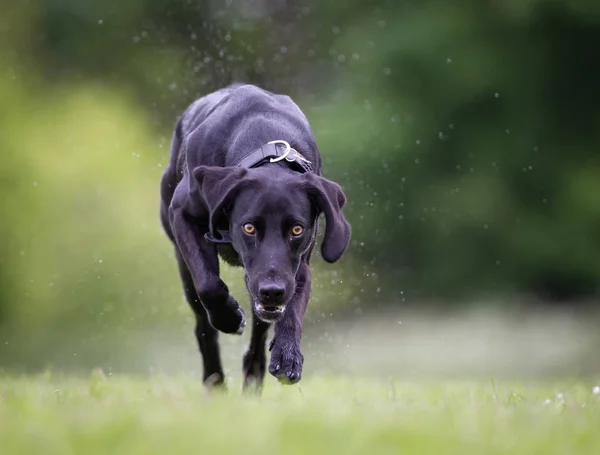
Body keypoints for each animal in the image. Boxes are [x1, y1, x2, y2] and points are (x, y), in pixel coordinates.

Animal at [159, 83, 350, 390]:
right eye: (249, 227)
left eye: (297, 229)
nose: (272, 291)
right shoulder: (182, 215)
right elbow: (208, 285)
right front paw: (230, 319)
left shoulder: (297, 266)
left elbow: (293, 309)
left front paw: (287, 356)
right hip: (184, 262)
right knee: (203, 325)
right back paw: (215, 382)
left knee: (258, 338)